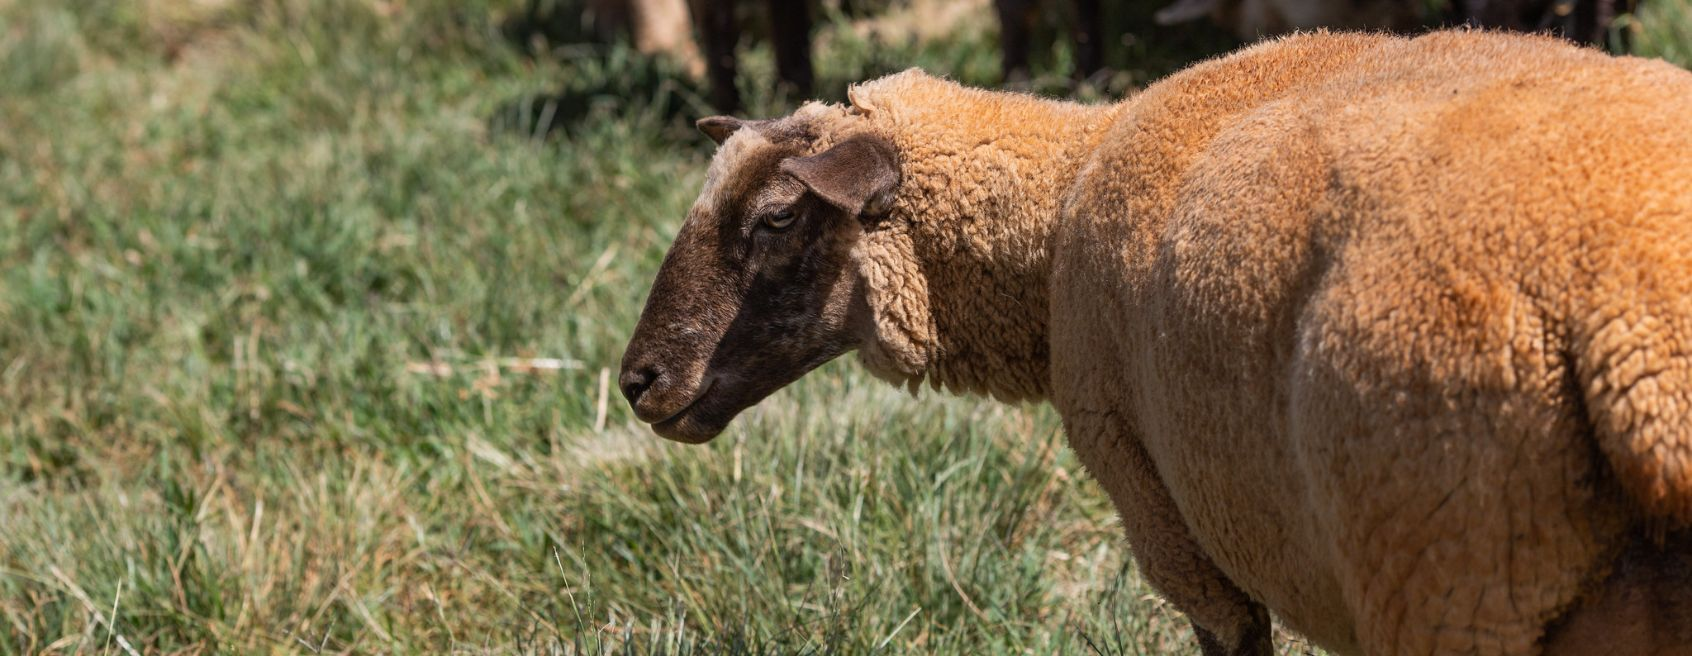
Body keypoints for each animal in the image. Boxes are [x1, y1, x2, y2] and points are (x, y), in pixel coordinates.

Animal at [619, 28, 1692, 652]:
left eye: (775, 220)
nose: (638, 380)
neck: (1062, 198)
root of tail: (1641, 336)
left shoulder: (1169, 525)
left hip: (1449, 563)